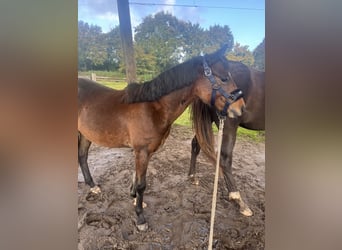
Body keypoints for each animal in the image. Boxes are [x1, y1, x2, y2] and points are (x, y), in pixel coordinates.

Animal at [78, 46, 246, 230]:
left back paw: (93, 187)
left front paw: (135, 200)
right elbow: (141, 184)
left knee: (82, 157)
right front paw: (140, 218)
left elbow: (136, 178)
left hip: (86, 134)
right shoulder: (142, 151)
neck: (153, 109)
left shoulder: (144, 152)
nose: (241, 108)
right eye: (224, 78)